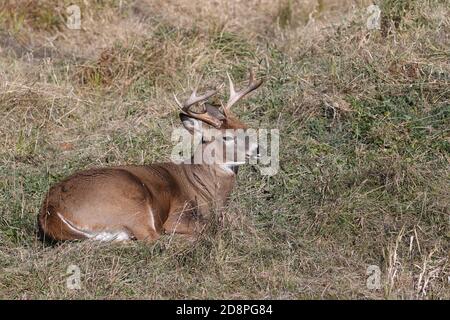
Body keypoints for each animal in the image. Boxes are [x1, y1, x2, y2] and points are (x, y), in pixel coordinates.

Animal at [39, 69, 264, 241]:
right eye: (226, 137)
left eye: (245, 126)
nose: (258, 149)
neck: (202, 185)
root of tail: (51, 209)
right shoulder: (178, 215)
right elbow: (206, 228)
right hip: (131, 201)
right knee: (153, 238)